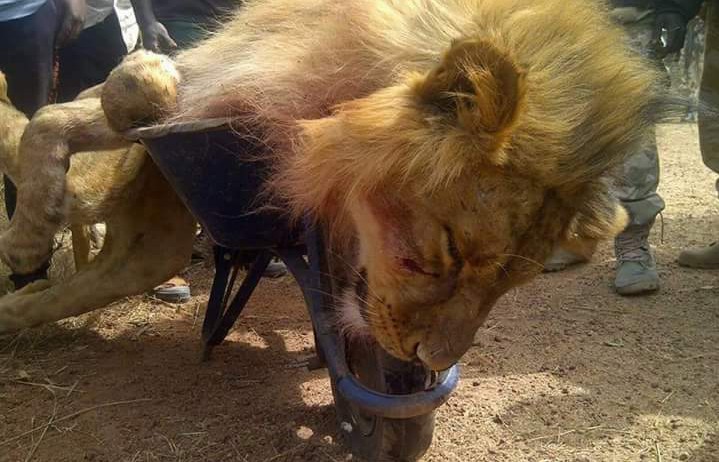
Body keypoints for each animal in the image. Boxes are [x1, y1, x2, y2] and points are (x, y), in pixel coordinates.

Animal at [0, 0, 664, 370]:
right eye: (450, 252)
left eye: (511, 284)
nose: (432, 361)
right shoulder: (213, 82)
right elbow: (90, 102)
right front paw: (28, 238)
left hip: (151, 246)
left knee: (101, 274)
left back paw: (23, 302)